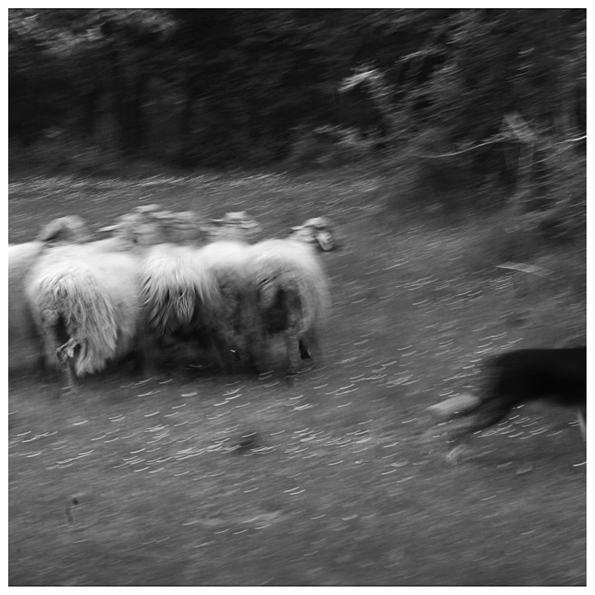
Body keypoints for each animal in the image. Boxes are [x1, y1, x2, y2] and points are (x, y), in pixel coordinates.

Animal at [442, 346, 586, 463]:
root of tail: (500, 359)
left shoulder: (581, 407)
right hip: (502, 406)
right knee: (462, 425)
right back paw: (454, 453)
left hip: (495, 402)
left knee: (460, 420)